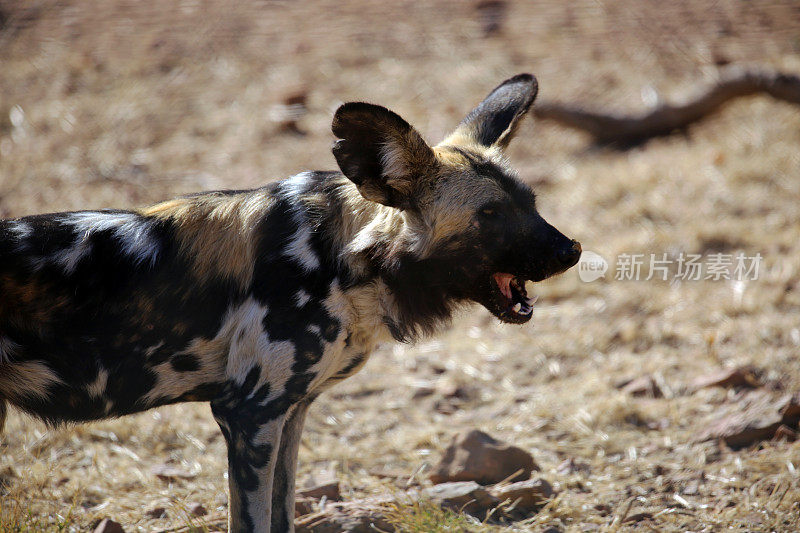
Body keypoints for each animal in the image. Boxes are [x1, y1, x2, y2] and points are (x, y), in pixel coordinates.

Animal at [0, 74, 580, 528]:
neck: (341, 258)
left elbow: (282, 512)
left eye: (531, 204)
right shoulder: (249, 414)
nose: (571, 251)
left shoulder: (288, 413)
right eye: (490, 215)